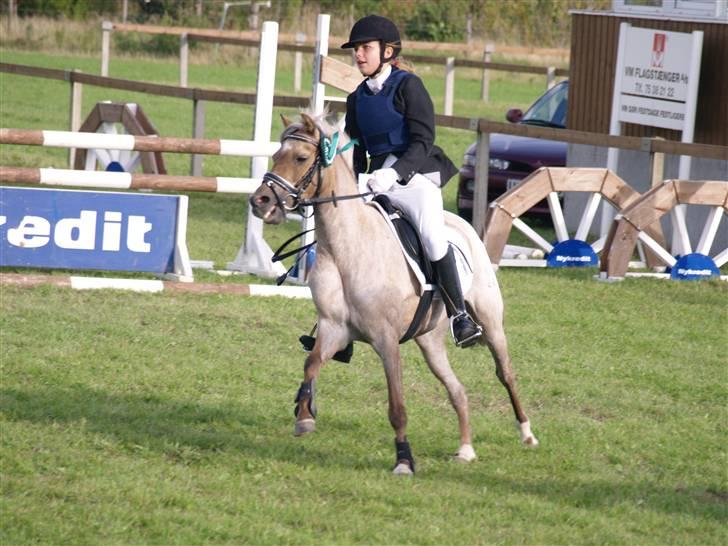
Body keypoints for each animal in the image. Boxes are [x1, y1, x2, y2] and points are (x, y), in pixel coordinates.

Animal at [249, 110, 538, 475]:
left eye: (300, 158)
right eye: (276, 155)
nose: (260, 202)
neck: (346, 249)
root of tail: (463, 224)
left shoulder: (386, 339)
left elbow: (397, 405)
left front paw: (404, 460)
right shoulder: (333, 328)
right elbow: (311, 364)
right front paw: (304, 414)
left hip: (490, 321)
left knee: (505, 373)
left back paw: (526, 433)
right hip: (430, 339)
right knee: (457, 389)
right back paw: (466, 449)